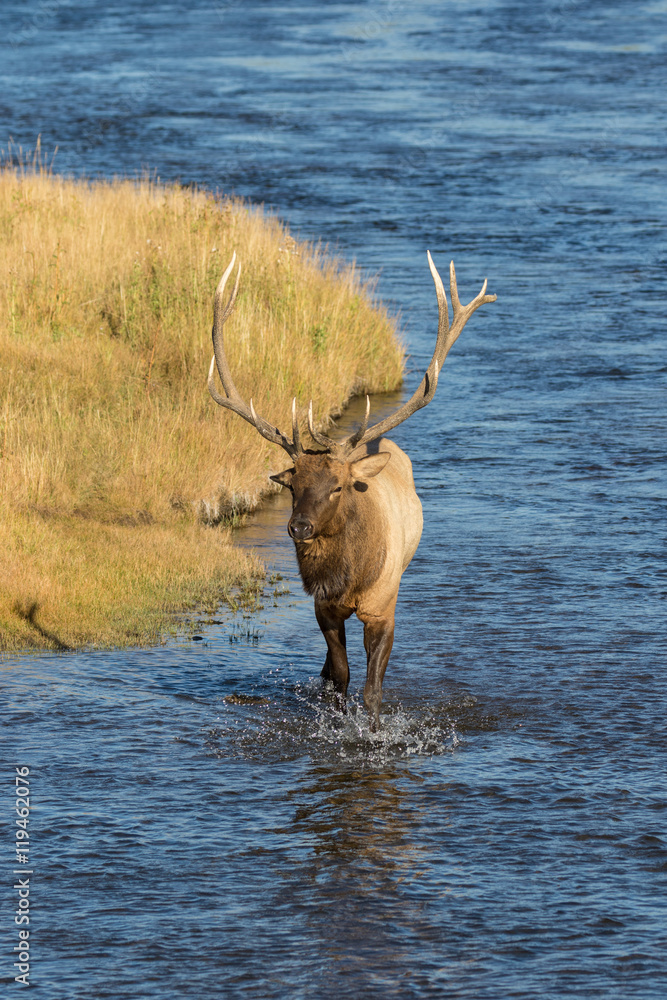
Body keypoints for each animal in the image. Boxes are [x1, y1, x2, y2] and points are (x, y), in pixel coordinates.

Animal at [209, 250, 496, 728]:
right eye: (293, 483)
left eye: (338, 486)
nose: (299, 527)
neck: (349, 578)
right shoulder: (323, 607)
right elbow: (341, 676)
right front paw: (337, 723)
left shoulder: (383, 607)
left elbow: (372, 688)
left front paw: (372, 731)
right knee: (329, 669)